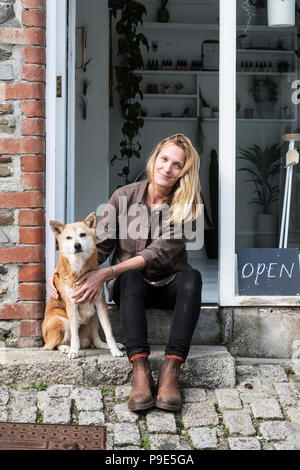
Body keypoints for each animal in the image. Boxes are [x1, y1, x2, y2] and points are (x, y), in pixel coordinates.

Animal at [41, 212, 123, 360]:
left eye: (83, 235)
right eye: (68, 237)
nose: (77, 245)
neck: (79, 267)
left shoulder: (100, 303)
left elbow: (108, 330)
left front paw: (114, 349)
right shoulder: (72, 305)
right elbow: (75, 335)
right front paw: (74, 351)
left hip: (94, 317)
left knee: (95, 340)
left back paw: (105, 345)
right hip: (62, 321)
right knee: (53, 345)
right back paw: (66, 348)